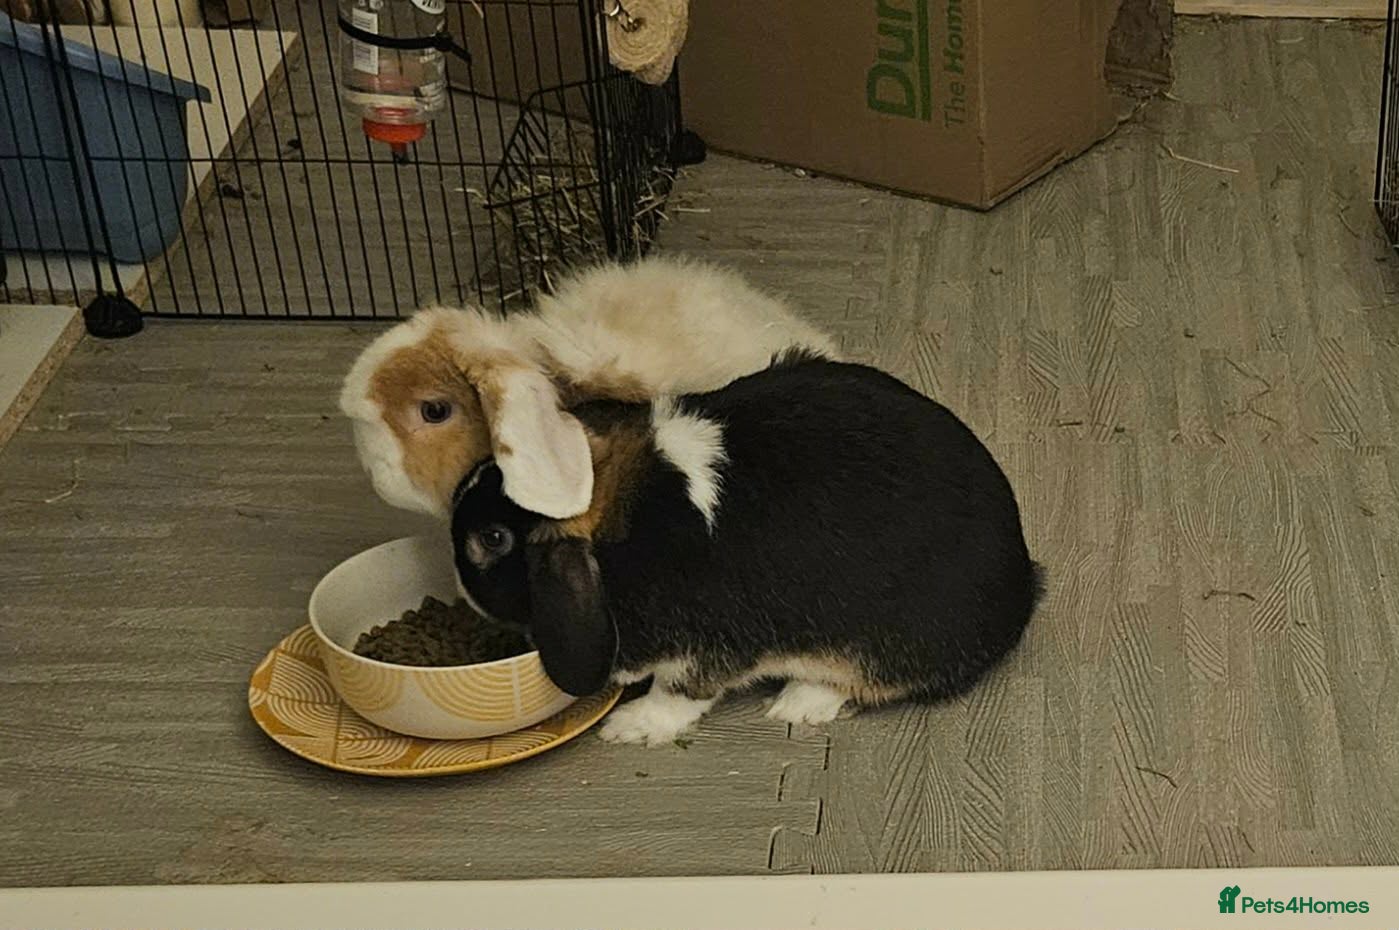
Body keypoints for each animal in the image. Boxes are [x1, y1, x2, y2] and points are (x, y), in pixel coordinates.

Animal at [449, 350, 1044, 747]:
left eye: (493, 539)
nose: (457, 584)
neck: (630, 525)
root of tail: (1024, 582)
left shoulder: (705, 646)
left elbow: (680, 692)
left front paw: (630, 727)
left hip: (882, 644)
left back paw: (798, 703)